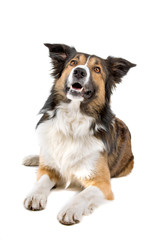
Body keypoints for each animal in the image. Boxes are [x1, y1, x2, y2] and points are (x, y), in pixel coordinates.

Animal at [23, 43, 136, 225]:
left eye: (97, 69)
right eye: (73, 62)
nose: (79, 71)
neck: (73, 120)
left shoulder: (102, 183)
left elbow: (84, 194)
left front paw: (70, 209)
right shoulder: (49, 169)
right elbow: (42, 180)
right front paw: (35, 195)